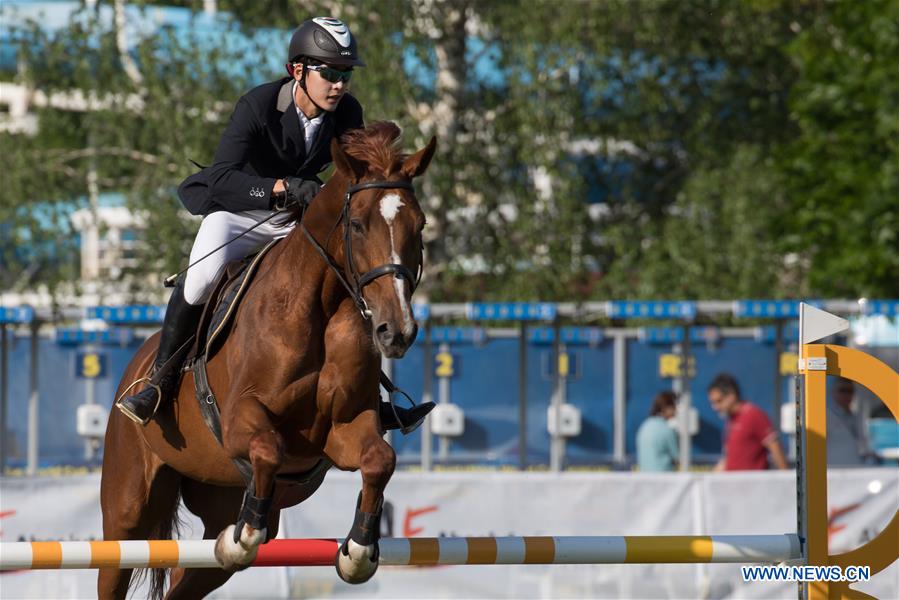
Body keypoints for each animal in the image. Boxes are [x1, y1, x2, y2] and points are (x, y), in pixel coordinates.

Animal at [98, 123, 436, 600]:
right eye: (356, 224)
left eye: (419, 225)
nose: (397, 330)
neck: (322, 308)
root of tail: (136, 367)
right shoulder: (241, 417)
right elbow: (268, 447)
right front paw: (245, 537)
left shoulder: (345, 428)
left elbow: (379, 460)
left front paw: (356, 551)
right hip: (126, 513)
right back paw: (147, 400)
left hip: (213, 514)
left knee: (189, 580)